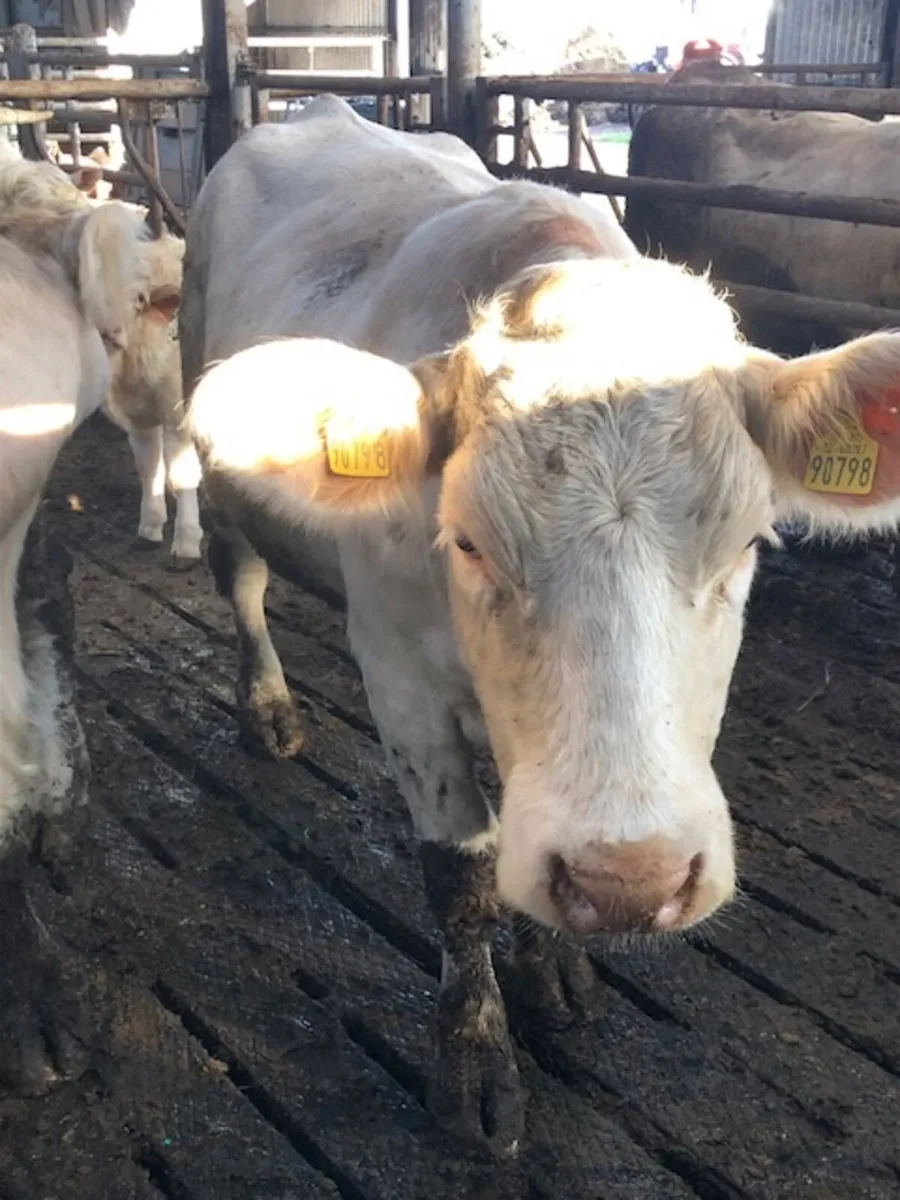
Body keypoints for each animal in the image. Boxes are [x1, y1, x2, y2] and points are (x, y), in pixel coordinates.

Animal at [182, 96, 900, 1154]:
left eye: (746, 542)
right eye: (467, 541)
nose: (634, 878)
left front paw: (554, 962)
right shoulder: (399, 680)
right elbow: (461, 873)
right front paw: (475, 1055)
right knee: (240, 576)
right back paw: (266, 705)